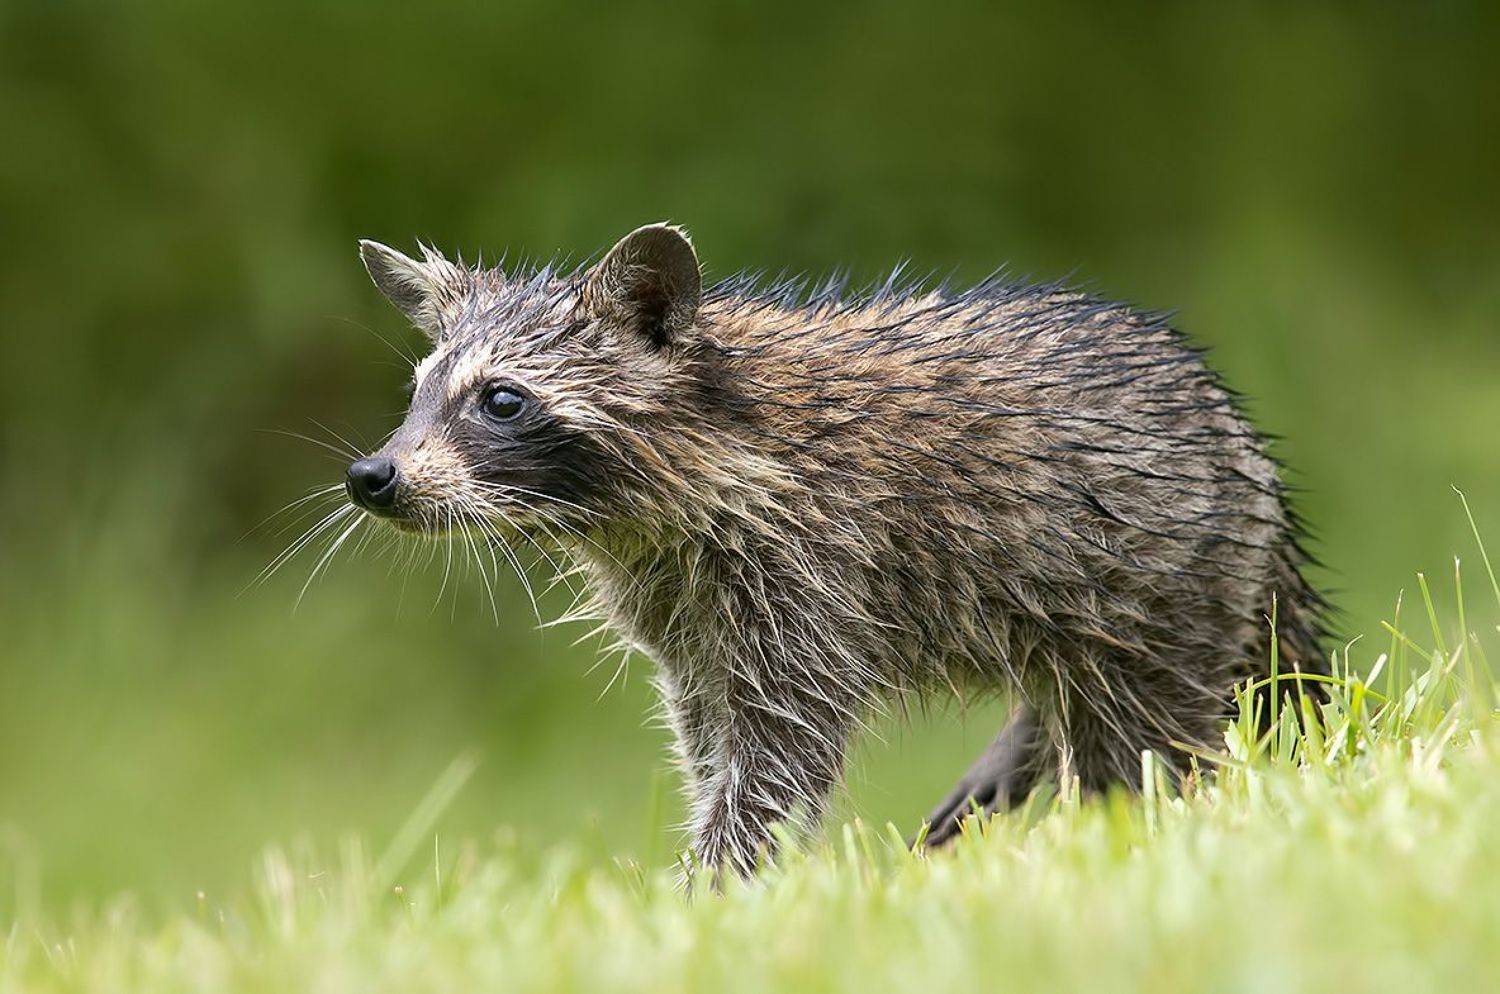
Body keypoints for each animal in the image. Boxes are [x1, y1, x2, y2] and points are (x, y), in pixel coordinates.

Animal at [343, 223, 1325, 876]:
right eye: (418, 393)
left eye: (501, 400)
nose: (371, 476)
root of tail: (1248, 455)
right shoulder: (689, 616)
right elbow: (713, 741)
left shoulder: (814, 568)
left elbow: (778, 756)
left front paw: (715, 891)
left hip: (1169, 587)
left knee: (1144, 743)